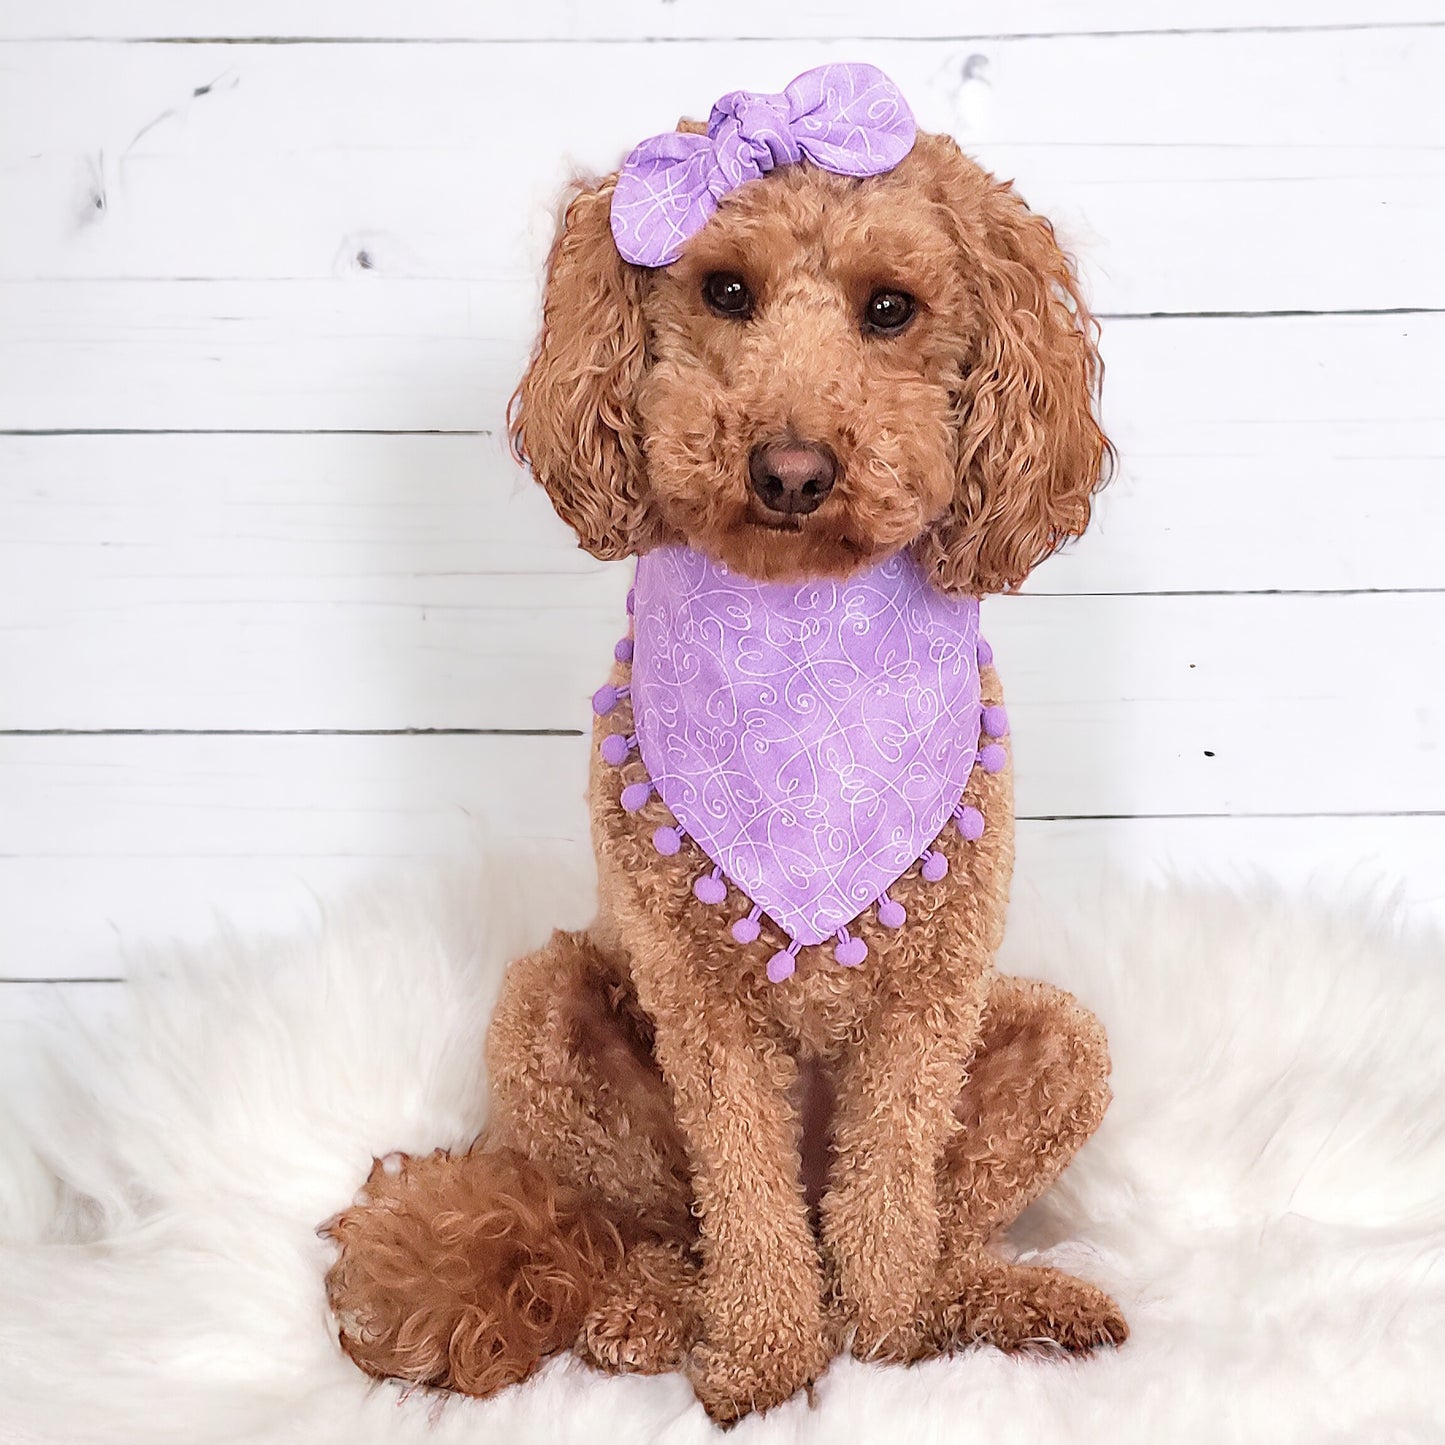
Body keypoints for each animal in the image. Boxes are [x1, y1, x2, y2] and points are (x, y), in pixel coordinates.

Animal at [322, 65, 1121, 1421]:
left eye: (890, 309)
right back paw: (655, 1310)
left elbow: (890, 1189)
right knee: (668, 1227)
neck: (798, 651)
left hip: (1058, 1038)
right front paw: (762, 1359)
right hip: (547, 1026)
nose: (789, 469)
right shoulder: (700, 1007)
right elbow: (741, 1193)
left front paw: (892, 1347)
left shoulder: (930, 997)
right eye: (725, 291)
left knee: (927, 1218)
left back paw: (990, 1301)